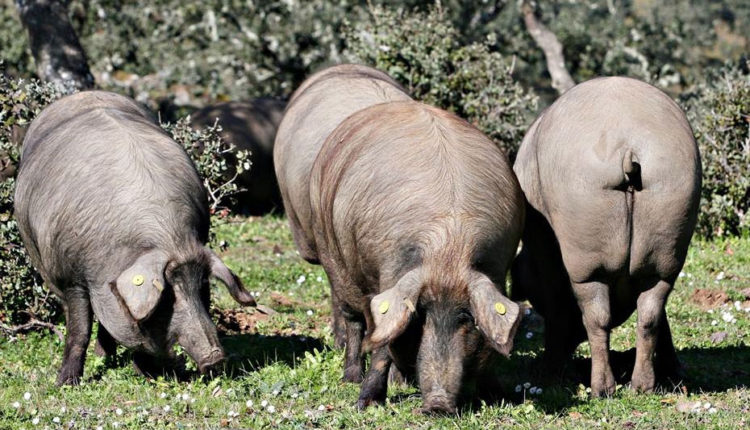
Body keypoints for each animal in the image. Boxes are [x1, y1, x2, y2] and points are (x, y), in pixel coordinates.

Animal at [14, 91, 256, 385]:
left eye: (203, 290)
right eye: (166, 298)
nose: (215, 359)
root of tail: (84, 94)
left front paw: (147, 374)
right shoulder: (71, 276)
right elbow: (79, 329)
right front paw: (65, 384)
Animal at [308, 100, 525, 413]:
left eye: (467, 318)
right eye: (420, 316)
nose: (438, 405)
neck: (447, 253)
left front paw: (497, 396)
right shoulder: (389, 279)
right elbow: (383, 345)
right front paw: (366, 403)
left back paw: (400, 383)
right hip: (330, 251)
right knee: (354, 320)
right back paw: (351, 377)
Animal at [511, 77, 701, 397]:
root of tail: (629, 149)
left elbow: (558, 309)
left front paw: (547, 373)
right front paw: (676, 371)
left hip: (586, 256)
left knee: (596, 316)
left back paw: (601, 388)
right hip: (670, 223)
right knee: (651, 313)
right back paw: (642, 386)